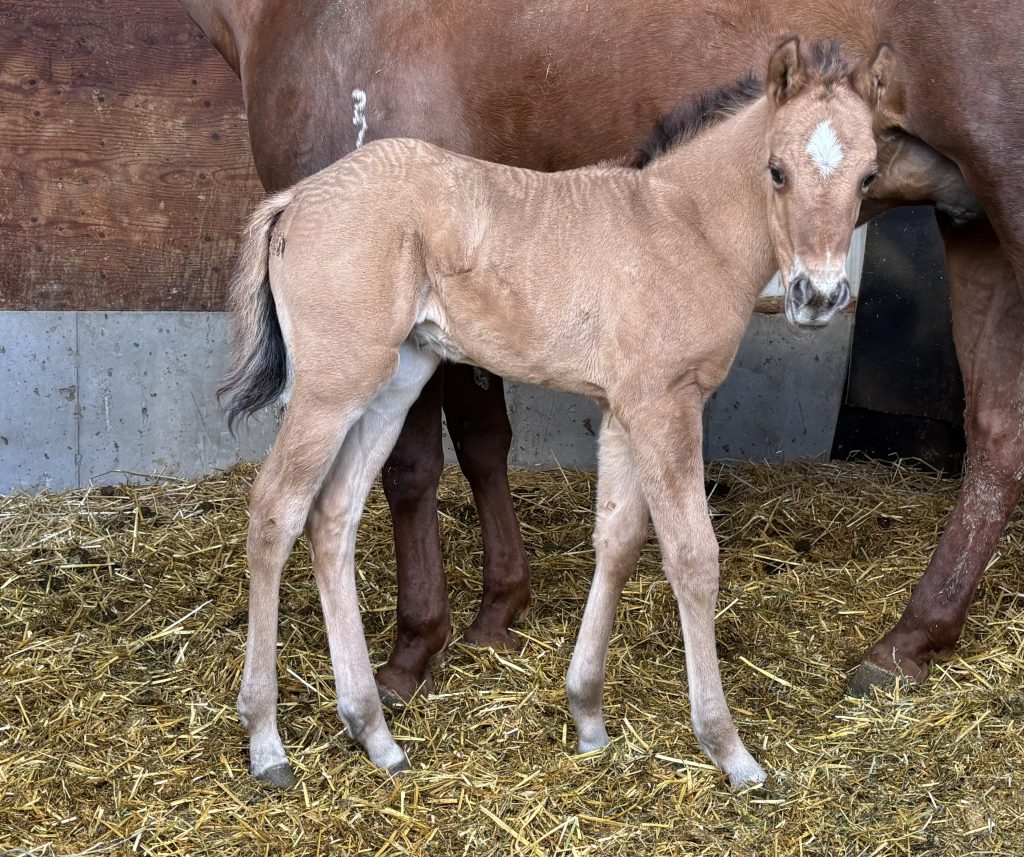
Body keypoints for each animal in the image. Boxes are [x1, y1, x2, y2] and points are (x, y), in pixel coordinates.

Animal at [179, 0, 1024, 703]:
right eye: (777, 172)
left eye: (869, 174)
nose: (819, 295)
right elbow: (478, 453)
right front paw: (481, 623)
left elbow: (439, 474)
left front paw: (432, 645)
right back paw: (909, 642)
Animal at [220, 39, 893, 788]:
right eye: (777, 171)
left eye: (868, 176)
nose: (818, 296)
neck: (685, 227)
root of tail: (295, 198)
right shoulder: (666, 405)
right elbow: (693, 556)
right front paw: (730, 749)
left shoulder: (625, 412)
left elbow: (619, 541)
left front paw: (588, 716)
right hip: (332, 386)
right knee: (275, 510)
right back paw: (266, 741)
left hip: (395, 381)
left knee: (333, 516)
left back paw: (375, 734)